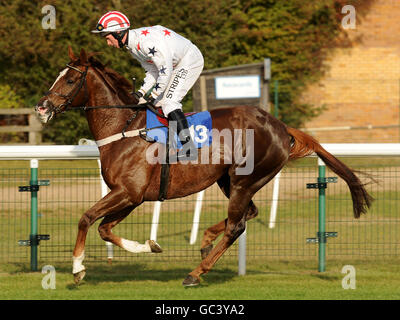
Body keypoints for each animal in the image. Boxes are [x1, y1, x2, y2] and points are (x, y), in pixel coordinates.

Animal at [34, 48, 372, 286]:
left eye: (70, 79)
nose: (42, 107)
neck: (125, 128)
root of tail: (281, 127)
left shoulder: (128, 192)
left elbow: (86, 218)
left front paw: (78, 268)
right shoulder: (132, 196)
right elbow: (104, 228)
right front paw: (150, 246)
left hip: (245, 180)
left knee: (237, 224)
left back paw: (196, 273)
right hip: (230, 181)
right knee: (247, 215)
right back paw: (207, 240)